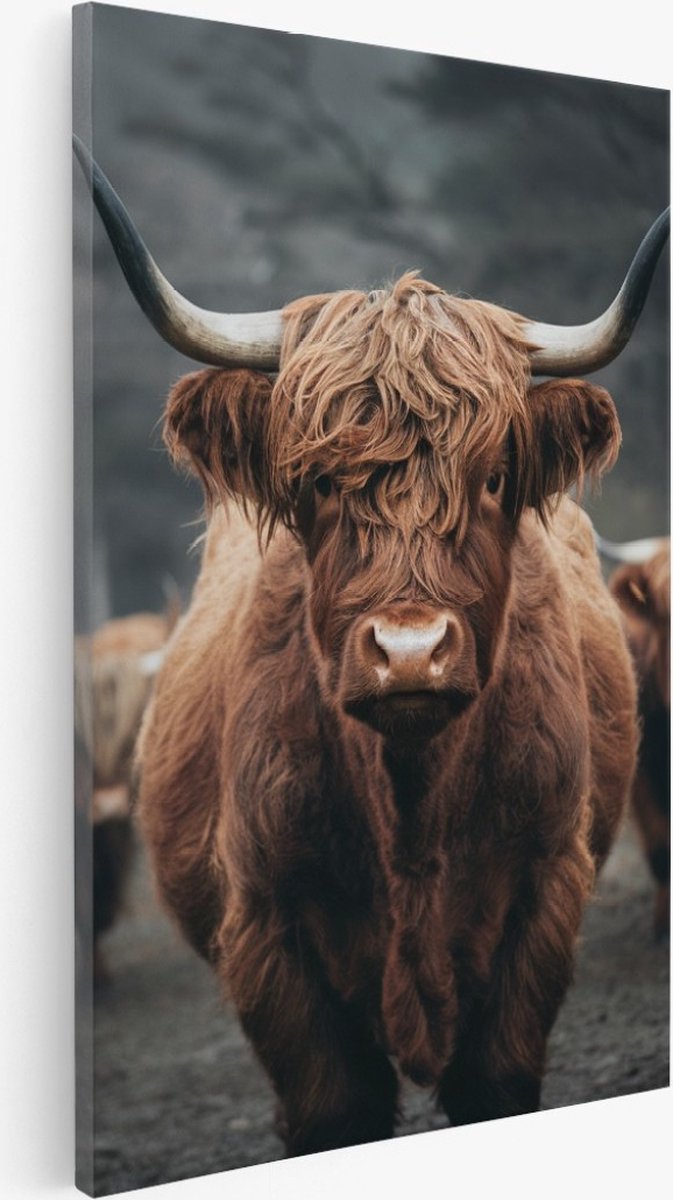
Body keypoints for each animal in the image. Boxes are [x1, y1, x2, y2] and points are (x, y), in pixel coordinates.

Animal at [74, 137, 669, 1151]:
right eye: (316, 481)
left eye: (494, 476)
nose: (409, 650)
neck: (410, 798)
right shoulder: (270, 938)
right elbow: (333, 1106)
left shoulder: (540, 902)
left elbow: (494, 1083)